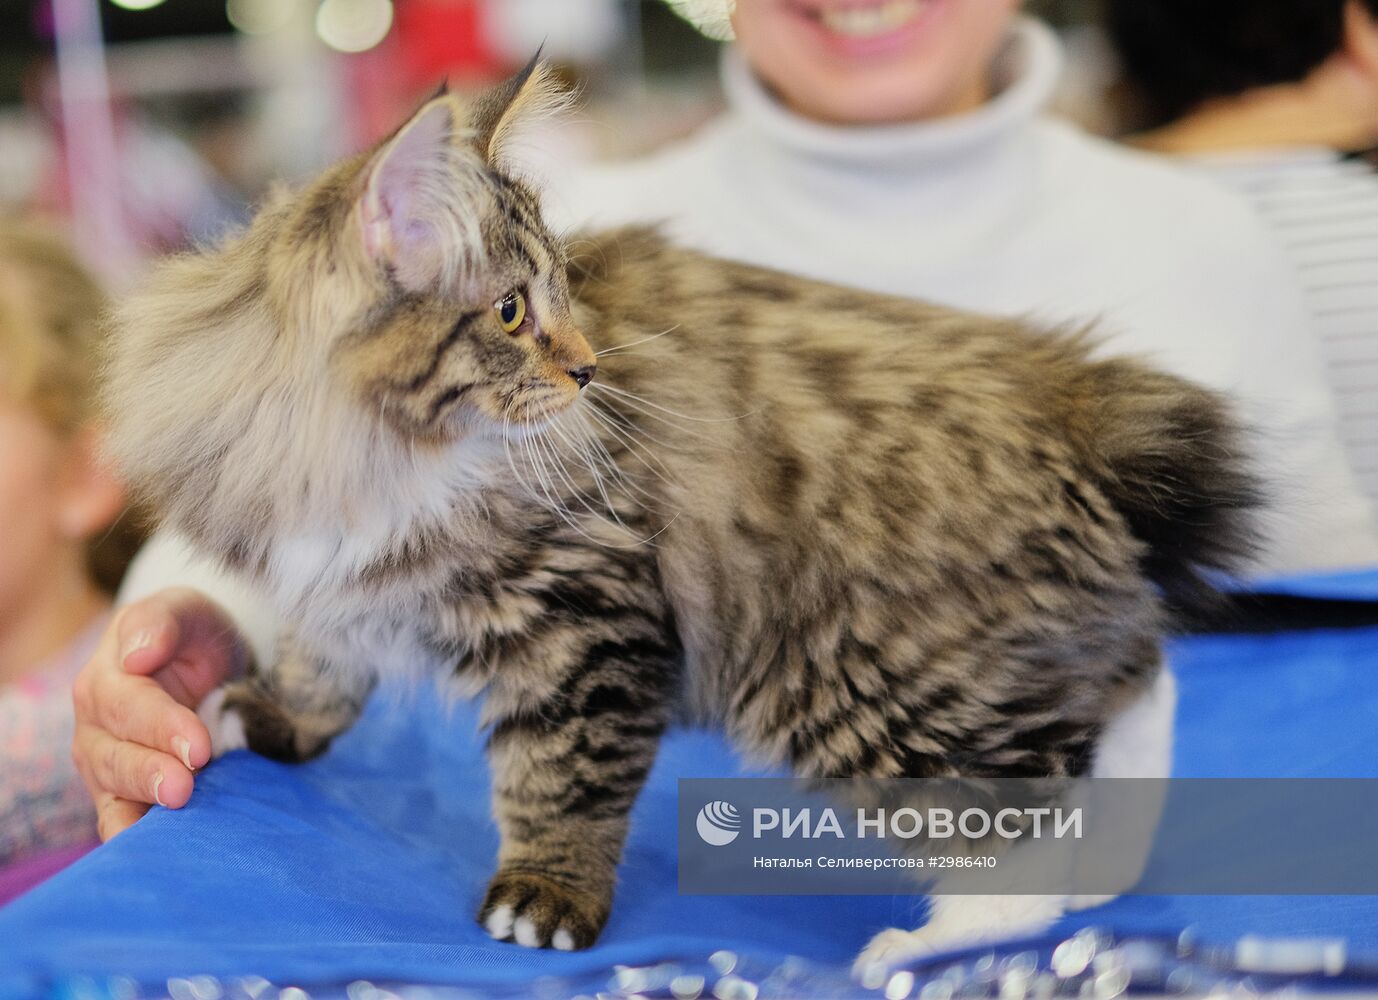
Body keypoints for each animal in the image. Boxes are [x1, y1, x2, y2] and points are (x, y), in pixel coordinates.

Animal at [99, 62, 1262, 969]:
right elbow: (320, 664)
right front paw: (259, 715)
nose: (588, 367)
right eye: (513, 311)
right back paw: (1099, 879)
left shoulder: (585, 618)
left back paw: (945, 947)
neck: (369, 452)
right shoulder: (322, 575)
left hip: (865, 679)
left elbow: (562, 779)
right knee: (1132, 690)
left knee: (1018, 819)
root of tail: (1058, 402)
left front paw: (546, 897)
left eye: (563, 294)